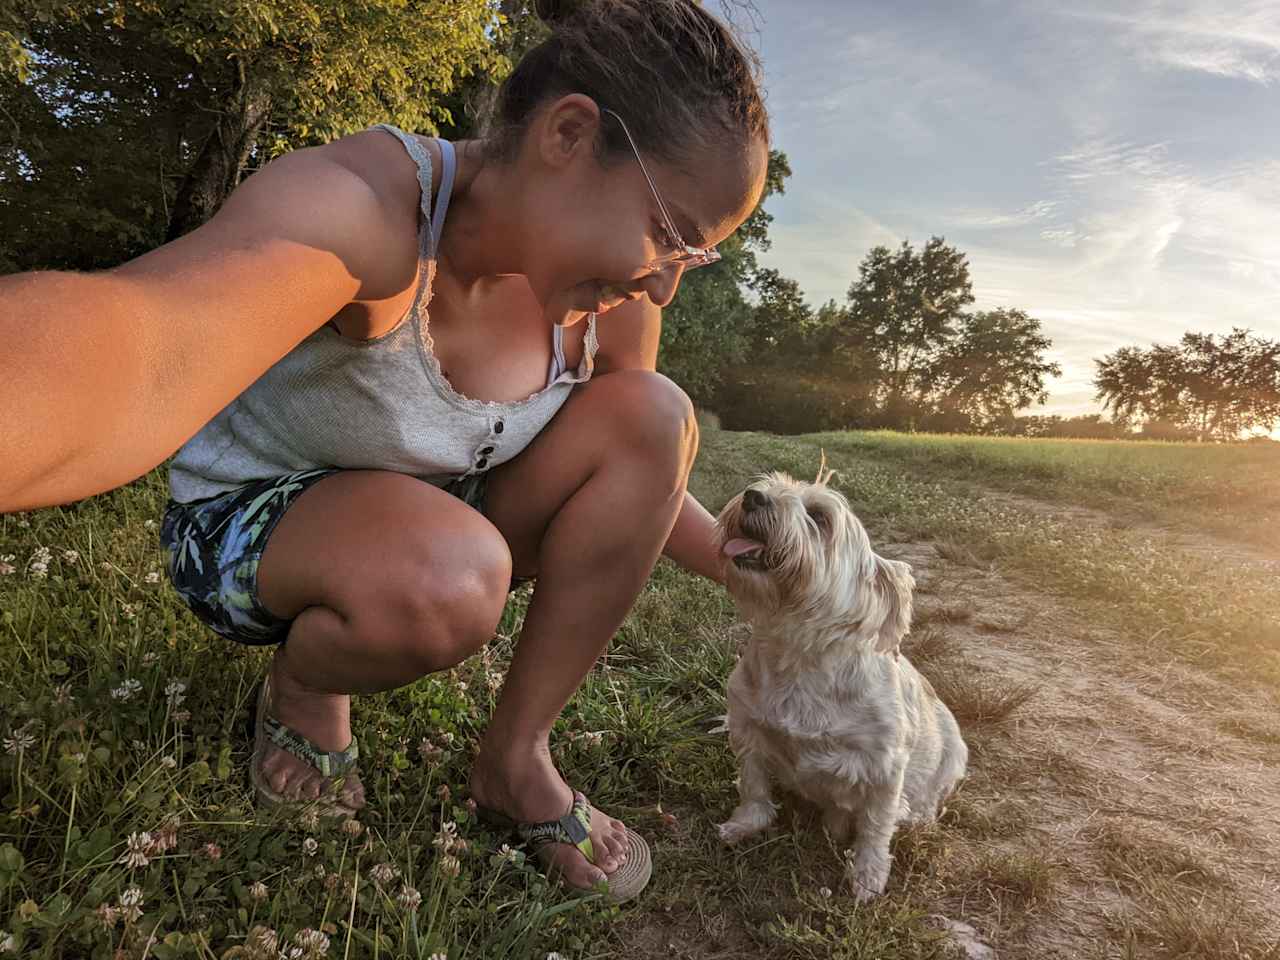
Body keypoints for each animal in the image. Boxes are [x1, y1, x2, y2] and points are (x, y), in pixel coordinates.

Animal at [716, 465, 962, 901]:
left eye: (820, 518)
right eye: (769, 484)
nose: (752, 497)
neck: (799, 656)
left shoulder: (884, 767)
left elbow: (876, 827)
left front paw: (868, 875)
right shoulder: (748, 728)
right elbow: (754, 786)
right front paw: (744, 825)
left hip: (954, 755)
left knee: (927, 801)